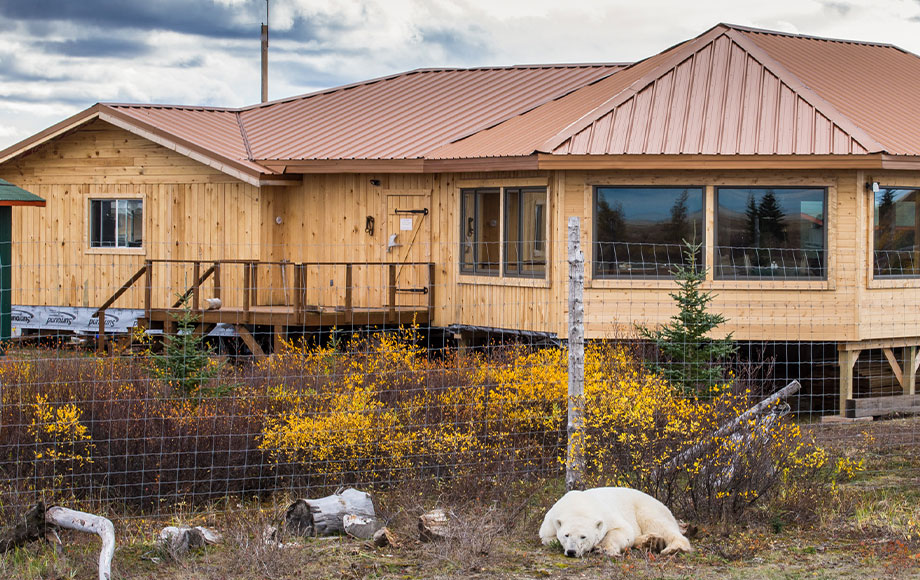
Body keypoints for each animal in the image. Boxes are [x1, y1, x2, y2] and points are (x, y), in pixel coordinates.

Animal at [540, 488, 688, 560]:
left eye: (583, 536)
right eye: (566, 535)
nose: (571, 551)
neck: (577, 505)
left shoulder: (607, 515)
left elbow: (623, 529)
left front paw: (603, 549)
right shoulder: (551, 520)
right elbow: (547, 537)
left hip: (646, 507)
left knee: (658, 523)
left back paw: (674, 548)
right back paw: (650, 541)